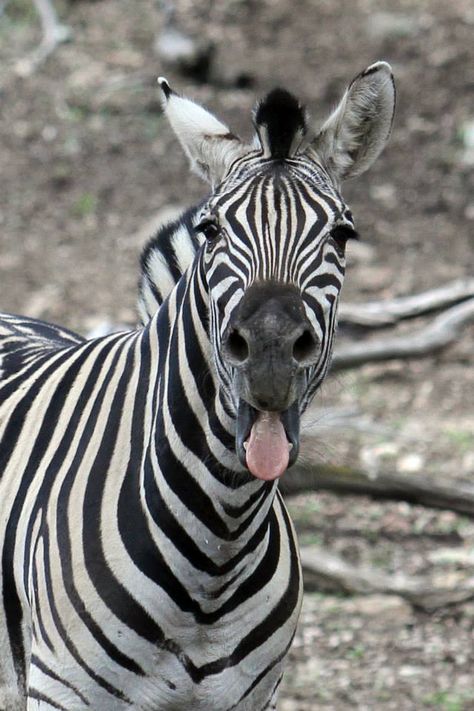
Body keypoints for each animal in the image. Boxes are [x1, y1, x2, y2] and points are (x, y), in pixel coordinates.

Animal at [0, 62, 392, 711]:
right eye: (211, 230)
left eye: (342, 235)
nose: (269, 350)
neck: (217, 550)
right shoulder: (60, 690)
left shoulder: (250, 697)